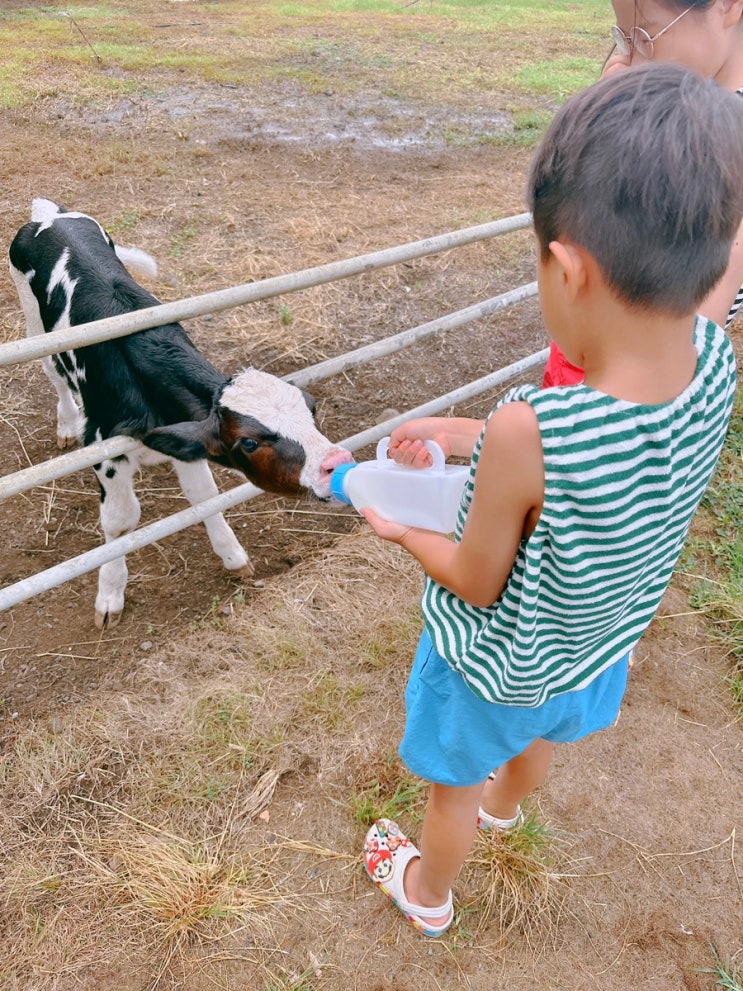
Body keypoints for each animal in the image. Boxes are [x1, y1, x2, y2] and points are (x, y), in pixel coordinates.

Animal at [8, 200, 352, 628]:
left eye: (311, 406)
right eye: (248, 442)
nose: (337, 461)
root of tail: (50, 214)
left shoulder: (184, 438)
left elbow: (204, 496)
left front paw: (232, 556)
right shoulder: (105, 447)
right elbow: (121, 520)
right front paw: (110, 594)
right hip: (35, 324)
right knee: (52, 372)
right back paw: (67, 424)